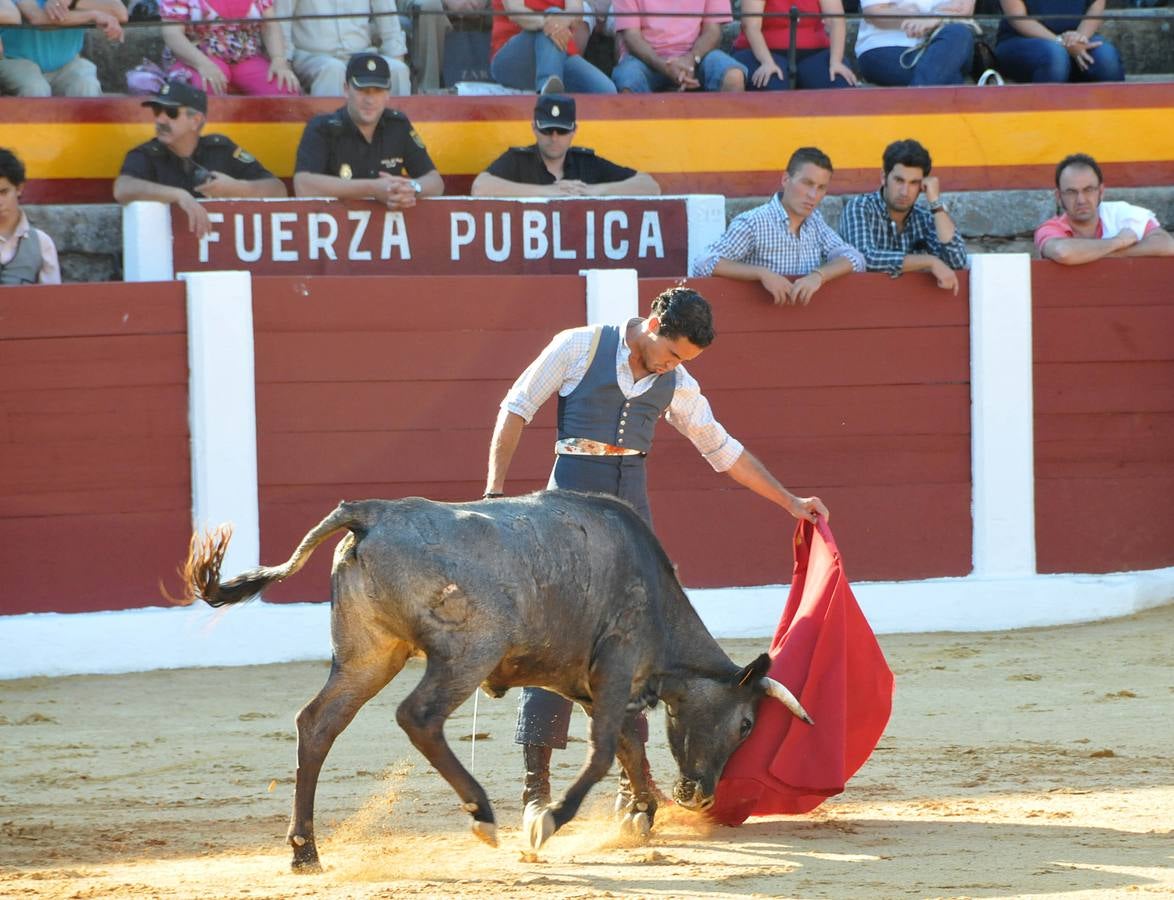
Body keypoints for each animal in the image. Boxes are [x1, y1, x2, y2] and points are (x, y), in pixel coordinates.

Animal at [180, 492, 807, 873]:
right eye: (746, 722)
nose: (700, 795)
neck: (655, 591)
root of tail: (372, 512)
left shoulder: (587, 683)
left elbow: (628, 744)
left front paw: (642, 814)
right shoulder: (616, 663)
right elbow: (606, 749)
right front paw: (551, 821)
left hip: (368, 657)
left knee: (317, 725)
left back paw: (305, 852)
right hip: (468, 652)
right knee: (418, 716)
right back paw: (481, 814)